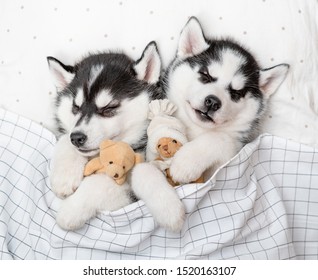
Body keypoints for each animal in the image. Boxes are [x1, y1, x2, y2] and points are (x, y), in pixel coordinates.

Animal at [163, 17, 290, 184]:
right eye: (206, 76)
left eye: (236, 93)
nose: (212, 102)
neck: (197, 129)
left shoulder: (233, 158)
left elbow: (220, 138)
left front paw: (186, 163)